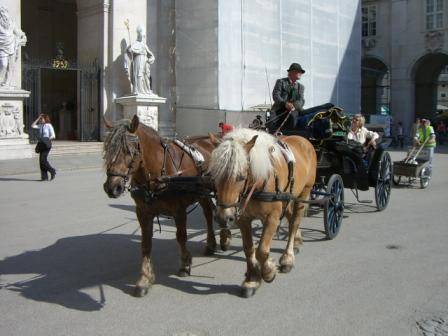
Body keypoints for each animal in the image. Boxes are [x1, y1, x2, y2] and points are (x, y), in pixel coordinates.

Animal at [102, 116, 231, 296]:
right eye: (108, 149)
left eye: (129, 151)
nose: (112, 187)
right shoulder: (143, 212)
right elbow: (146, 244)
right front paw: (145, 279)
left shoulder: (179, 210)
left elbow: (181, 237)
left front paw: (185, 264)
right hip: (202, 192)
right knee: (207, 213)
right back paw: (211, 244)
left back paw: (225, 237)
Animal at [208, 128, 316, 296]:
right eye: (214, 176)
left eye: (241, 177)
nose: (223, 218)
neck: (258, 183)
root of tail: (303, 140)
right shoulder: (243, 219)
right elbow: (248, 248)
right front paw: (252, 279)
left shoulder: (272, 217)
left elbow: (262, 251)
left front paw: (268, 272)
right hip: (288, 197)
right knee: (291, 218)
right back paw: (297, 242)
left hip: (303, 194)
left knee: (294, 223)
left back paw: (288, 258)